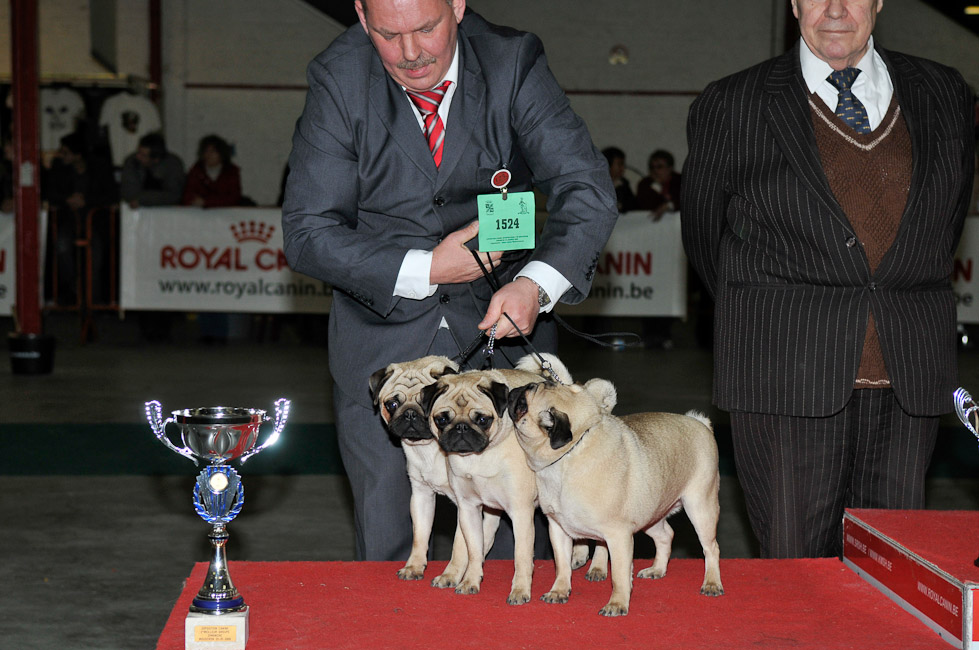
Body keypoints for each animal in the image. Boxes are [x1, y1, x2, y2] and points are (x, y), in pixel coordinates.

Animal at [372, 354, 502, 588]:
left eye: (426, 406)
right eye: (392, 404)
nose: (410, 414)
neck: (429, 450)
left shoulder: (464, 503)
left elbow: (460, 546)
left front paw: (451, 575)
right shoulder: (421, 496)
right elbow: (420, 535)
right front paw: (414, 567)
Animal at [420, 352, 580, 604]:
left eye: (482, 420)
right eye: (442, 420)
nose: (461, 428)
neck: (479, 457)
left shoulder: (521, 513)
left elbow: (521, 557)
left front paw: (520, 590)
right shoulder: (468, 509)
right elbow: (474, 551)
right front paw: (470, 581)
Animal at [510, 374, 724, 612]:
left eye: (523, 402)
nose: (515, 390)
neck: (570, 453)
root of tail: (700, 424)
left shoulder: (618, 535)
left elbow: (619, 575)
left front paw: (617, 603)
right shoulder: (558, 529)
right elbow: (562, 565)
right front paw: (559, 591)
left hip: (700, 507)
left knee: (711, 548)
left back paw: (712, 583)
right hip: (650, 515)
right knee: (666, 536)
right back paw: (657, 570)